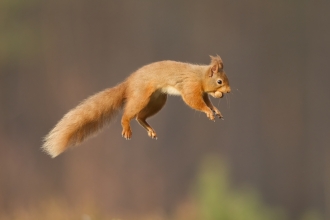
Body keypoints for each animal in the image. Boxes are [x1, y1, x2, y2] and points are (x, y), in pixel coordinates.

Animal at [42, 55, 231, 157]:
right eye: (219, 81)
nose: (228, 91)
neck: (200, 76)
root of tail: (129, 83)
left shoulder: (203, 93)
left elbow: (207, 101)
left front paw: (215, 110)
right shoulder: (190, 87)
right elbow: (194, 101)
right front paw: (208, 111)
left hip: (156, 101)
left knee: (140, 116)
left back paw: (150, 129)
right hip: (141, 96)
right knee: (129, 113)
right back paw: (126, 127)